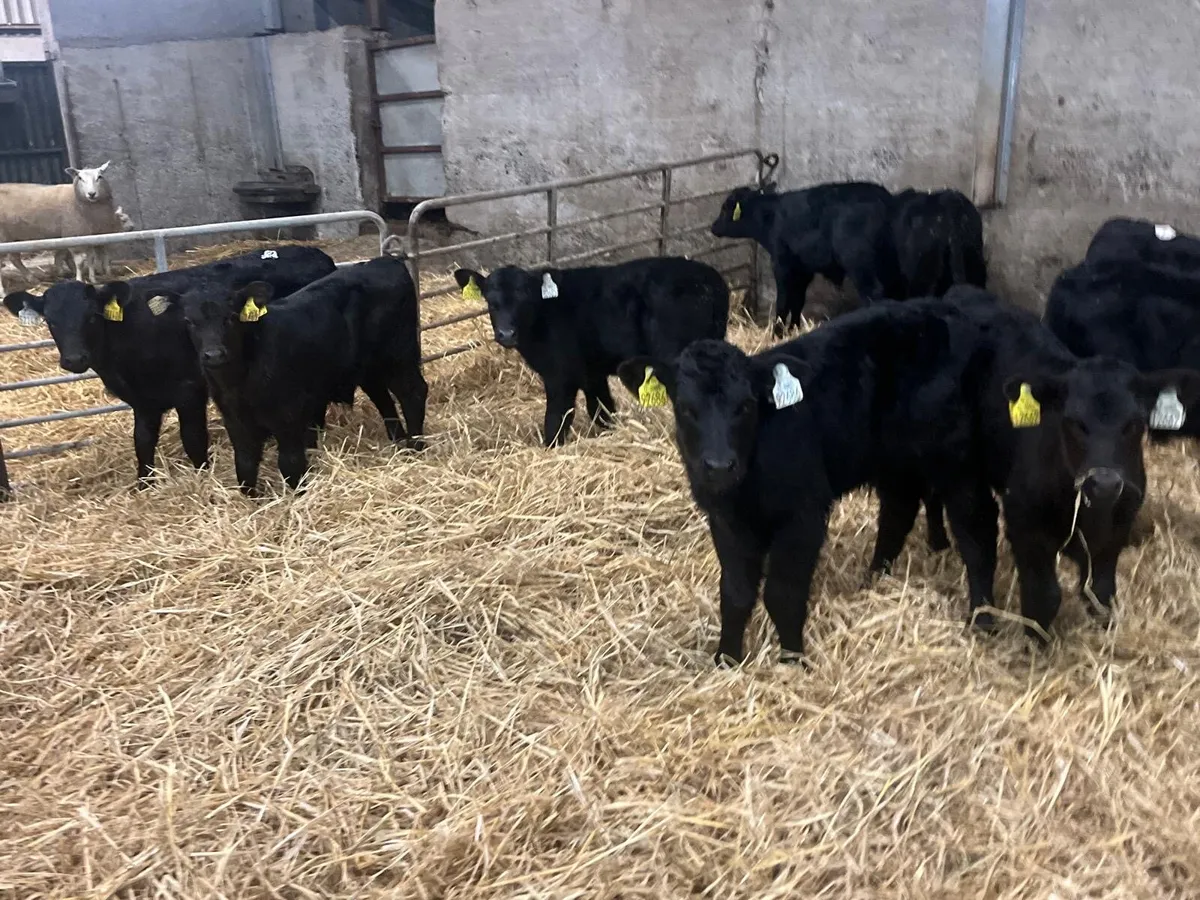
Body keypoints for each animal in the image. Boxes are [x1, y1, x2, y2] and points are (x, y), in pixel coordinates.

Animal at [1, 246, 336, 488]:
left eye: (92, 317)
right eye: (51, 321)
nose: (74, 359)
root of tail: (315, 253)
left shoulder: (189, 391)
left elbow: (193, 439)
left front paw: (203, 476)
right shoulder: (143, 401)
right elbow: (142, 441)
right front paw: (143, 484)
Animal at [175, 255, 426, 495]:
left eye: (231, 316)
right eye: (189, 321)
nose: (214, 354)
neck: (239, 382)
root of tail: (384, 261)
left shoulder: (288, 414)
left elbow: (290, 463)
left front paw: (299, 494)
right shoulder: (235, 420)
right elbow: (244, 465)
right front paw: (253, 500)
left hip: (399, 356)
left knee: (413, 393)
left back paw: (416, 446)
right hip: (369, 369)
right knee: (384, 400)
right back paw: (398, 442)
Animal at [453, 256, 729, 447]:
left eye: (525, 299)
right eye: (491, 301)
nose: (506, 334)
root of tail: (709, 280)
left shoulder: (560, 375)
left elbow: (557, 418)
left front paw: (550, 448)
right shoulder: (592, 372)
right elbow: (602, 410)